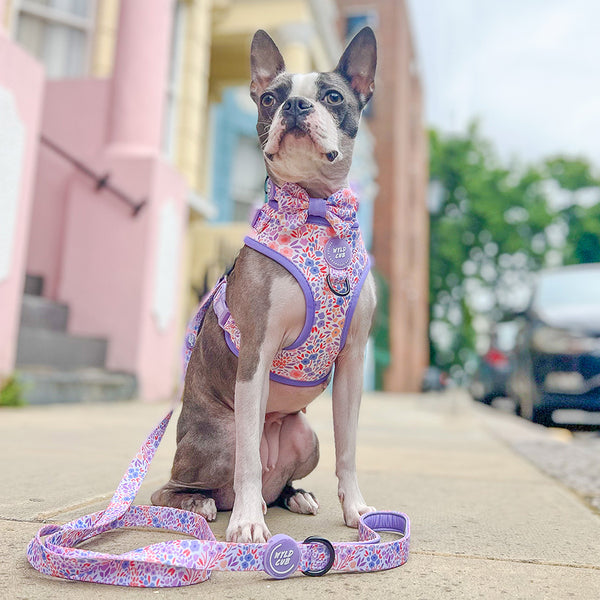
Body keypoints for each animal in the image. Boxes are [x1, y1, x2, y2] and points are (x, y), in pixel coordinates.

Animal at [152, 27, 378, 544]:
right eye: (270, 98)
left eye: (333, 97)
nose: (294, 105)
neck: (316, 211)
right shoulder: (256, 350)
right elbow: (249, 464)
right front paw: (248, 526)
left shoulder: (353, 361)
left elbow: (350, 447)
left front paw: (356, 510)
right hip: (224, 435)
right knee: (184, 486)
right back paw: (205, 505)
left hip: (305, 436)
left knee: (274, 479)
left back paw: (293, 494)